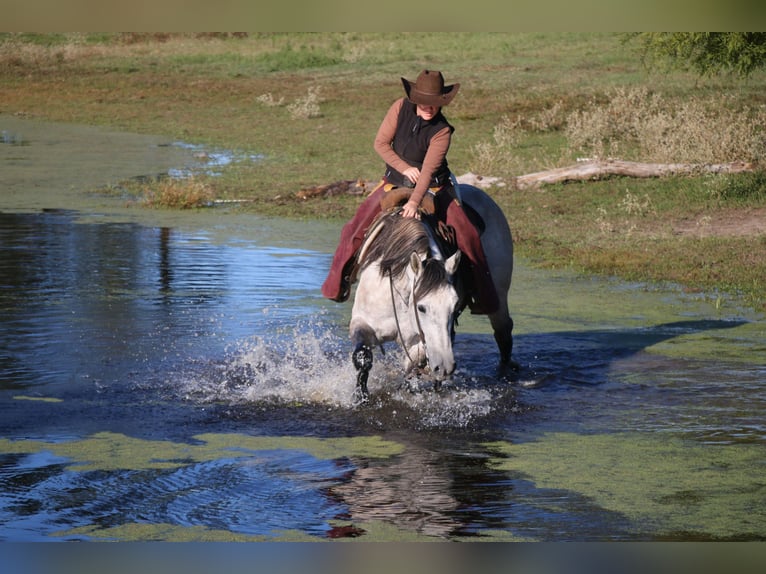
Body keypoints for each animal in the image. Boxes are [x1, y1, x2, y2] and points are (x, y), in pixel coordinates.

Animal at [348, 183, 514, 403]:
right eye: (421, 307)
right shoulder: (362, 322)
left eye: (454, 306)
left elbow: (413, 367)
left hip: (499, 298)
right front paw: (361, 398)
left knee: (503, 333)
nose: (445, 366)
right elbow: (363, 358)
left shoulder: (419, 343)